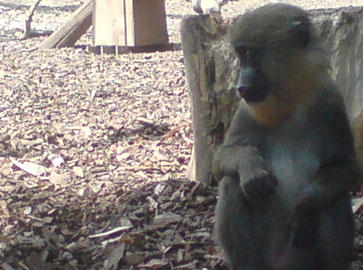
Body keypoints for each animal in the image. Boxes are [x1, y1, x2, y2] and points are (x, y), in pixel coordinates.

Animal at [213, 3, 362, 268]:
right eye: (240, 56)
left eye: (249, 55)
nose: (240, 85)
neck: (291, 101)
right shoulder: (246, 110)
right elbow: (222, 161)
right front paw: (251, 167)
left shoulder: (331, 102)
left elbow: (347, 167)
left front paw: (305, 205)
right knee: (232, 183)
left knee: (336, 196)